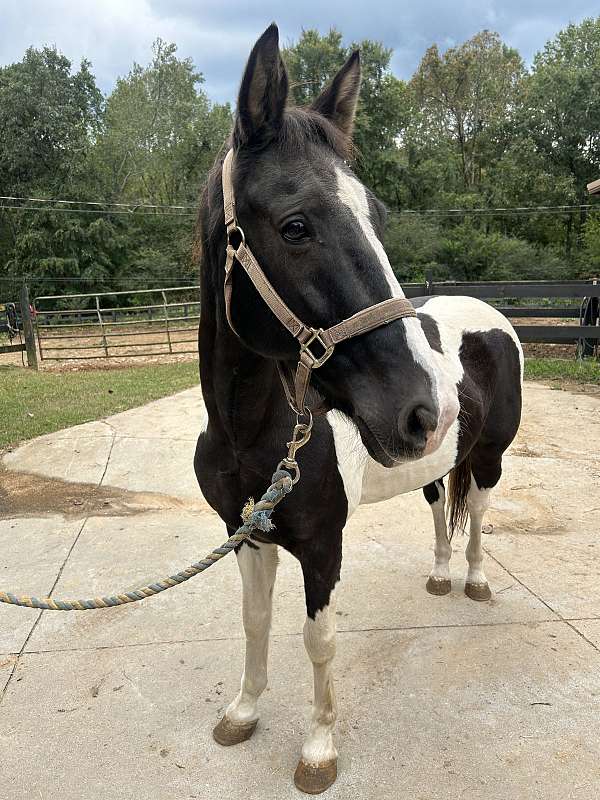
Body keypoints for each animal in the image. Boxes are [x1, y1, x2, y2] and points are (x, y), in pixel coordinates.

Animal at [195, 23, 524, 792]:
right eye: (295, 226)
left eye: (376, 217)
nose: (424, 407)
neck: (251, 432)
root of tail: (493, 315)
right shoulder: (245, 533)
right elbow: (255, 623)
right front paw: (243, 712)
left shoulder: (322, 544)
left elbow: (319, 639)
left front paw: (319, 749)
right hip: (434, 464)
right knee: (438, 506)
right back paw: (439, 576)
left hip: (490, 458)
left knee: (478, 513)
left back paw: (473, 581)